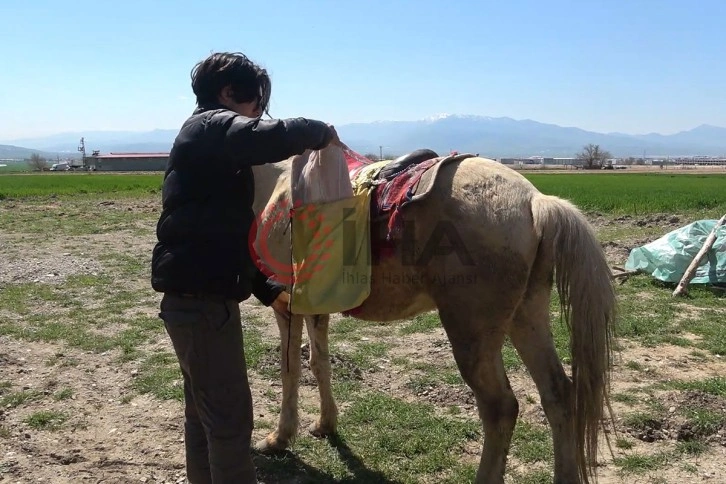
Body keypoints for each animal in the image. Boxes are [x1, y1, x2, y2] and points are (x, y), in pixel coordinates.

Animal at [252, 155, 620, 484]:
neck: (274, 182)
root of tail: (534, 202)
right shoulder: (314, 308)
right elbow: (319, 363)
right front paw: (324, 424)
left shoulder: (285, 306)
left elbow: (290, 370)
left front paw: (279, 437)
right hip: (527, 316)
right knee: (558, 394)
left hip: (472, 335)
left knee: (501, 407)